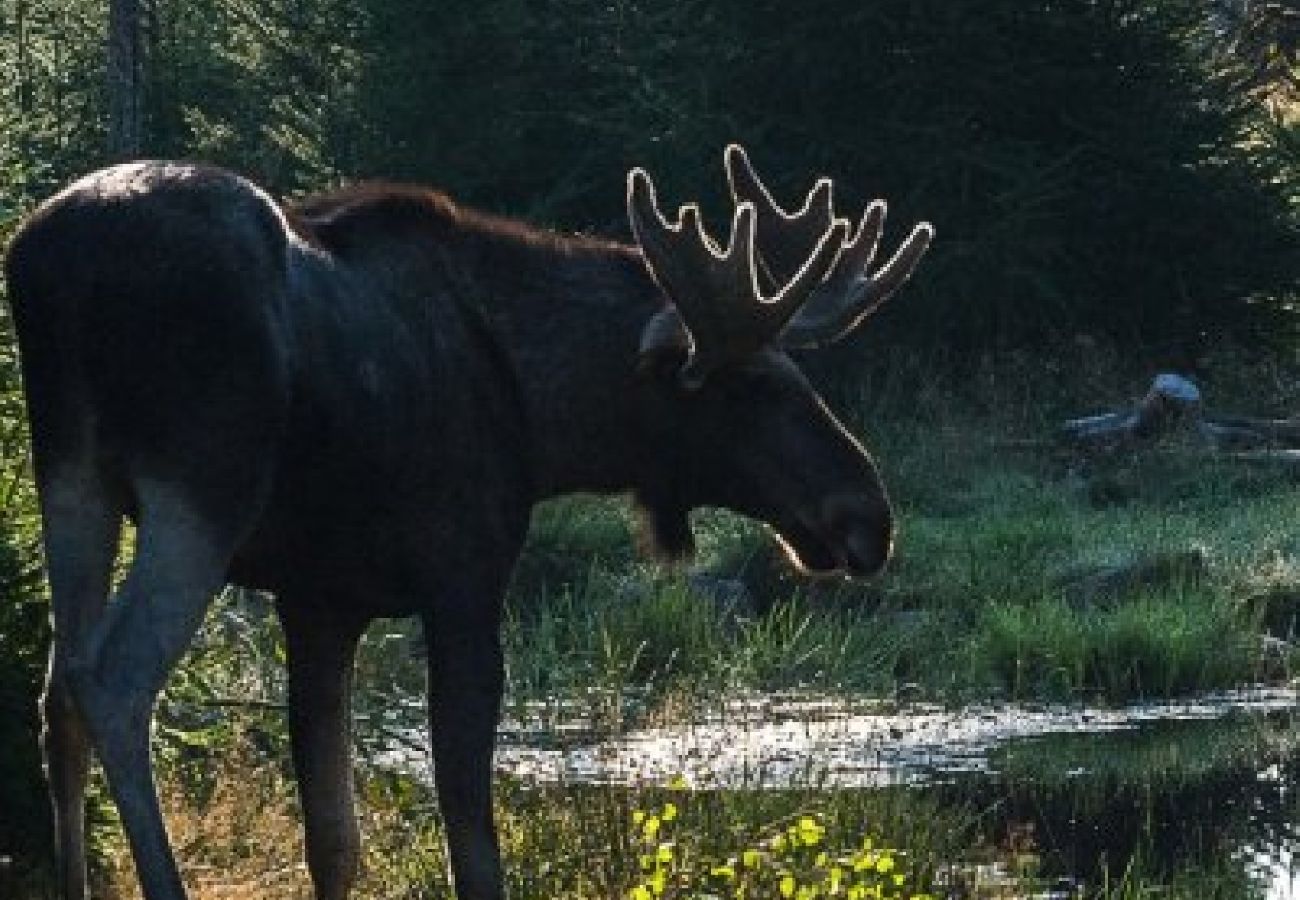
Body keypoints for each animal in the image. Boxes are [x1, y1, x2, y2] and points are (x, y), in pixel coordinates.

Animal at [5, 147, 930, 900]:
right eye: (759, 387)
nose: (869, 515)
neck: (544, 416)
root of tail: (47, 266)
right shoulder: (463, 577)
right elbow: (472, 846)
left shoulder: (319, 603)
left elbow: (334, 841)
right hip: (201, 485)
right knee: (115, 676)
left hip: (70, 475)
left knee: (58, 686)